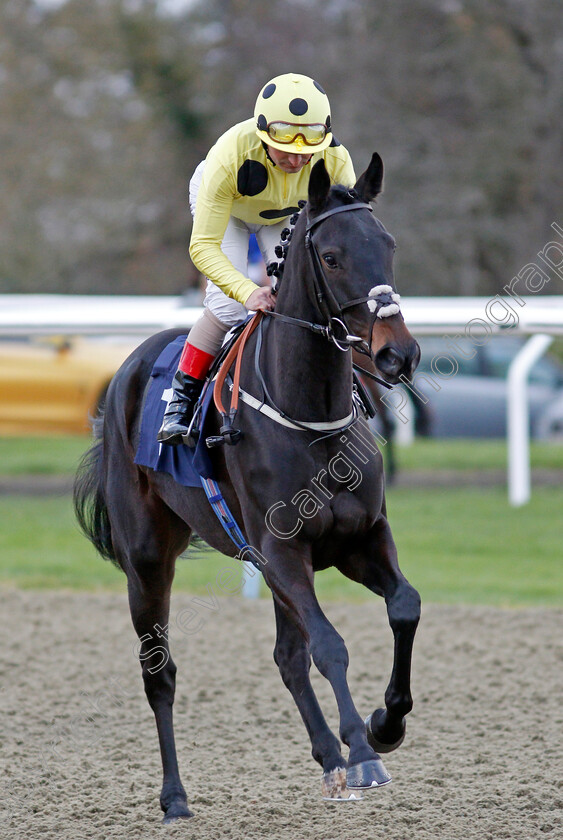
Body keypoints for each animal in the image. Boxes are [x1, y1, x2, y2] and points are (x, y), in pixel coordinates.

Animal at [72, 154, 420, 824]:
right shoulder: (282, 550)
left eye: (389, 245)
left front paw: (383, 726)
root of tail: (128, 368)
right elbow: (329, 644)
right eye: (332, 256)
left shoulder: (359, 538)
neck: (310, 415)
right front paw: (363, 750)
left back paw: (328, 758)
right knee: (160, 673)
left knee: (287, 656)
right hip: (147, 561)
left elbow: (403, 607)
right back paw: (175, 797)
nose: (399, 356)